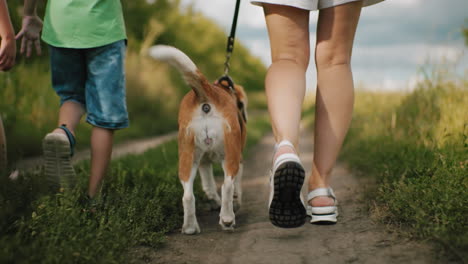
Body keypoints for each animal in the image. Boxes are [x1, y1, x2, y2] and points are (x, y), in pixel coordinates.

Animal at [149, 45, 249, 235]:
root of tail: (207, 93)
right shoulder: (239, 158)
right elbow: (235, 186)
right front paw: (236, 203)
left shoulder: (203, 163)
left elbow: (208, 185)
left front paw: (214, 201)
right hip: (230, 156)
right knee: (227, 185)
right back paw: (227, 219)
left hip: (188, 158)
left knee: (188, 195)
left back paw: (190, 227)